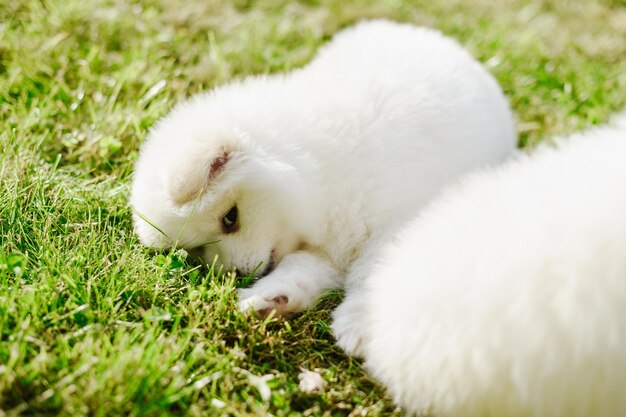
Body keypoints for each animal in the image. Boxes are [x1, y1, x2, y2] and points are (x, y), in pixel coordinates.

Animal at [129, 18, 516, 312]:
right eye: (197, 249)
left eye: (230, 218)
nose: (238, 274)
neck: (318, 168)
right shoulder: (326, 251)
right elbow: (300, 268)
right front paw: (270, 298)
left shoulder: (398, 215)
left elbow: (379, 266)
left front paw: (359, 323)